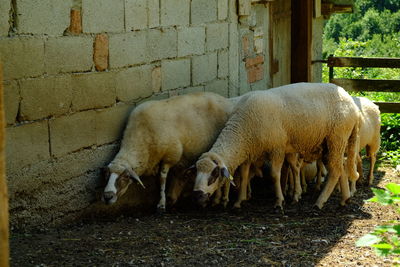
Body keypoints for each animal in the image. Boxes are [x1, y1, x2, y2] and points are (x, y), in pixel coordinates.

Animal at [104, 91, 241, 213]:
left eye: (125, 176)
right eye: (107, 175)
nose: (107, 197)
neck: (140, 137)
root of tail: (226, 100)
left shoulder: (170, 156)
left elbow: (162, 179)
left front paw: (161, 204)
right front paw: (167, 199)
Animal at [192, 82, 360, 210]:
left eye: (214, 175)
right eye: (196, 173)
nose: (198, 196)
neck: (242, 128)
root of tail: (352, 103)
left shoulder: (277, 148)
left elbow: (274, 174)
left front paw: (279, 201)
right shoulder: (249, 152)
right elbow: (245, 175)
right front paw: (239, 201)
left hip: (337, 138)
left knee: (335, 170)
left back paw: (320, 202)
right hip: (331, 143)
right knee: (341, 167)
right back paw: (345, 198)